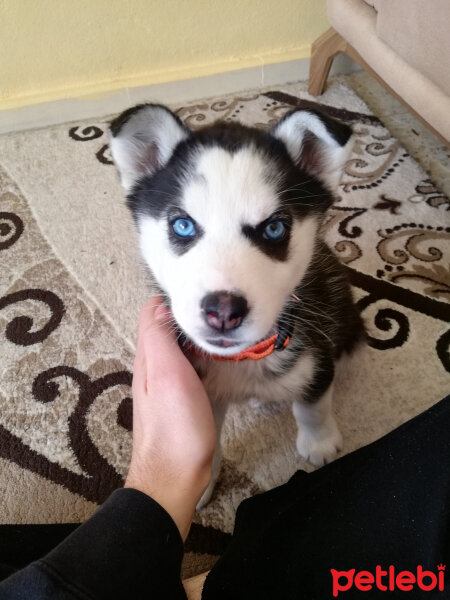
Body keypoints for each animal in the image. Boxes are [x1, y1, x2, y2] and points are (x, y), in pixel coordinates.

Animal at [109, 104, 366, 506]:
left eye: (274, 229)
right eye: (183, 225)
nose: (224, 312)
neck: (242, 362)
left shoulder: (318, 351)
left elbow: (313, 404)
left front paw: (319, 443)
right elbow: (210, 443)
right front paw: (203, 486)